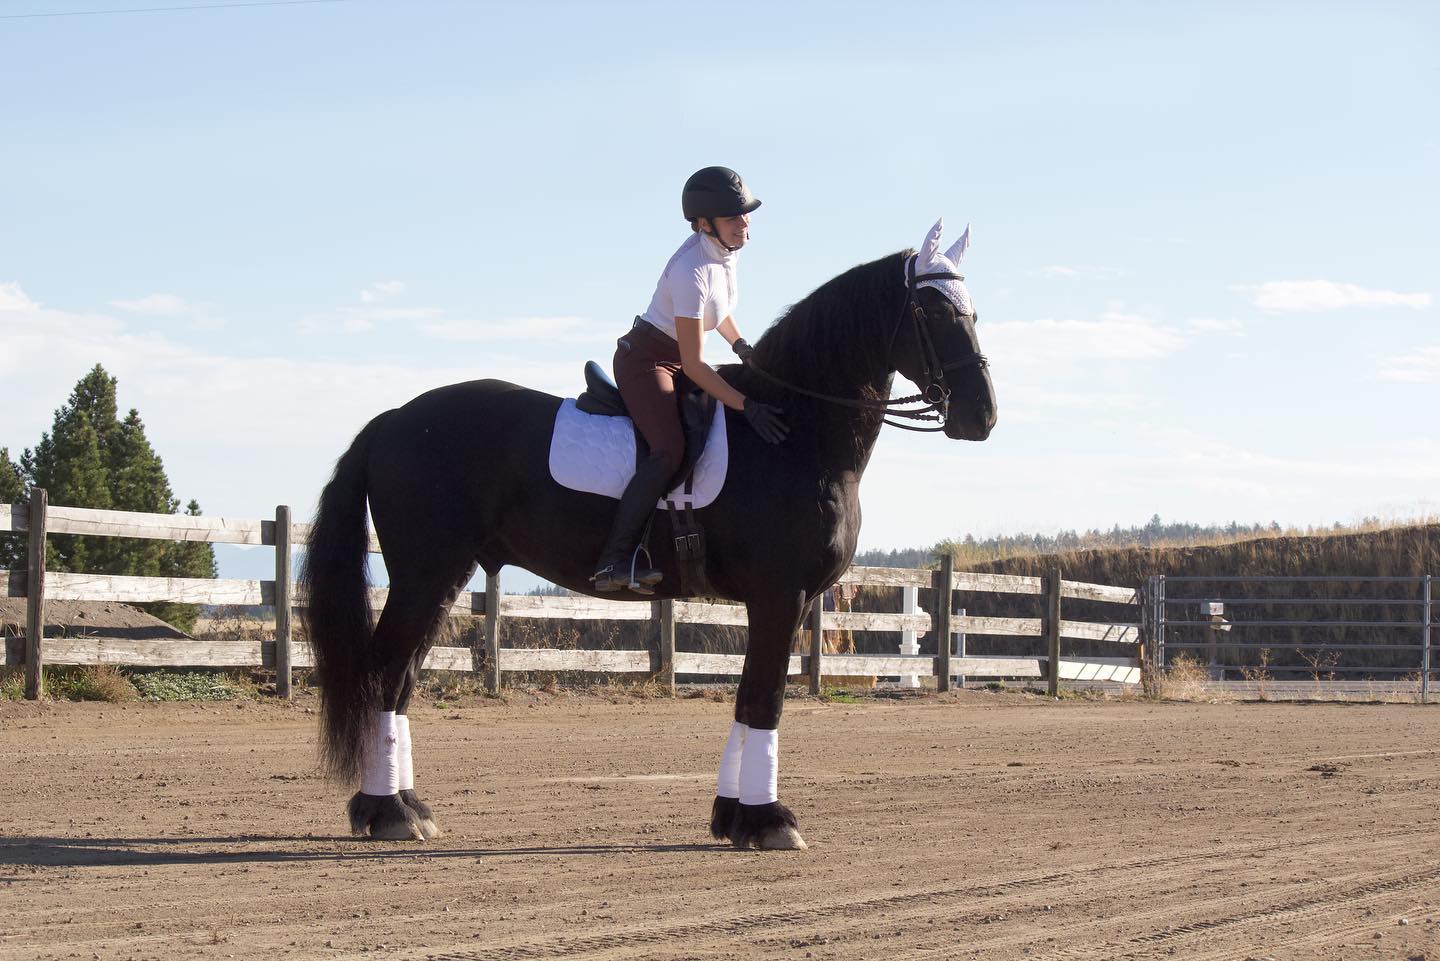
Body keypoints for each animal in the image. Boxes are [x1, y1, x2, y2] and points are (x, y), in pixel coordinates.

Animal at [300, 223, 1002, 847]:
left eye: (972, 310)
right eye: (933, 311)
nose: (983, 415)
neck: (795, 431)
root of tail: (394, 419)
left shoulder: (787, 600)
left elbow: (746, 698)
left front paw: (731, 816)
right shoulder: (779, 594)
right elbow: (766, 699)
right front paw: (767, 821)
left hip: (445, 578)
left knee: (399, 681)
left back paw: (406, 807)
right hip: (424, 575)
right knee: (383, 674)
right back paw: (386, 811)